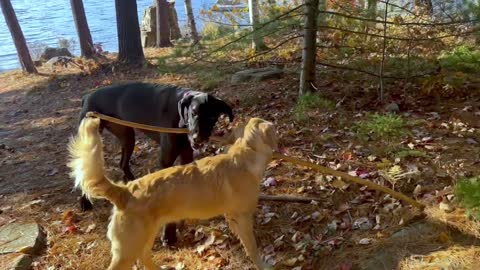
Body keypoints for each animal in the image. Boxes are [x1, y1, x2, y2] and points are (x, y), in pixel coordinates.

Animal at [67, 116, 278, 270]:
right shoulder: (242, 217)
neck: (245, 156)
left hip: (145, 238)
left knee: (144, 258)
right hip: (128, 249)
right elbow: (252, 248)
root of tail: (125, 191)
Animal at [77, 81, 234, 245]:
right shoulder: (166, 162)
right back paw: (85, 202)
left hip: (127, 136)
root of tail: (88, 96)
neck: (179, 117)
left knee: (122, 163)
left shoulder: (186, 157)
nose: (198, 138)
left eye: (212, 116)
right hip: (91, 137)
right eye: (194, 112)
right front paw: (169, 234)